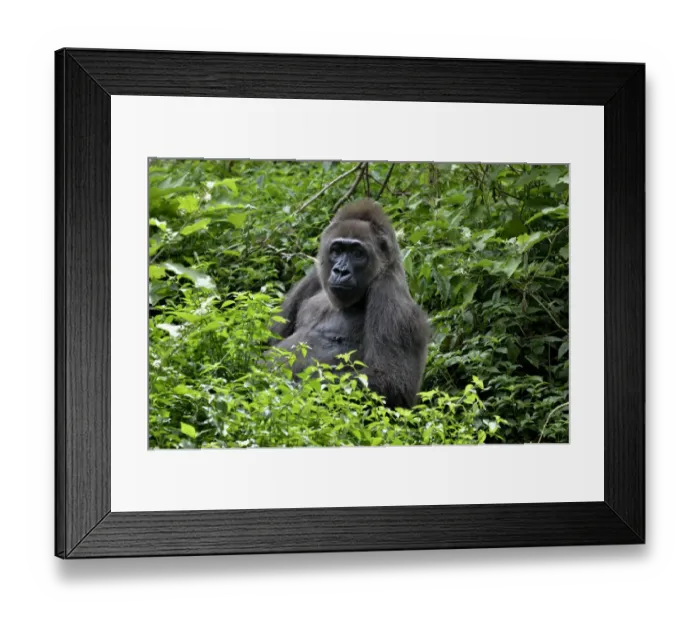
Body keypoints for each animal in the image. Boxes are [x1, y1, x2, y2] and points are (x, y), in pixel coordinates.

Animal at [268, 199, 430, 408]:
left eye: (357, 253)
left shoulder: (389, 293)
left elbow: (389, 382)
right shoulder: (314, 275)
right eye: (336, 250)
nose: (340, 271)